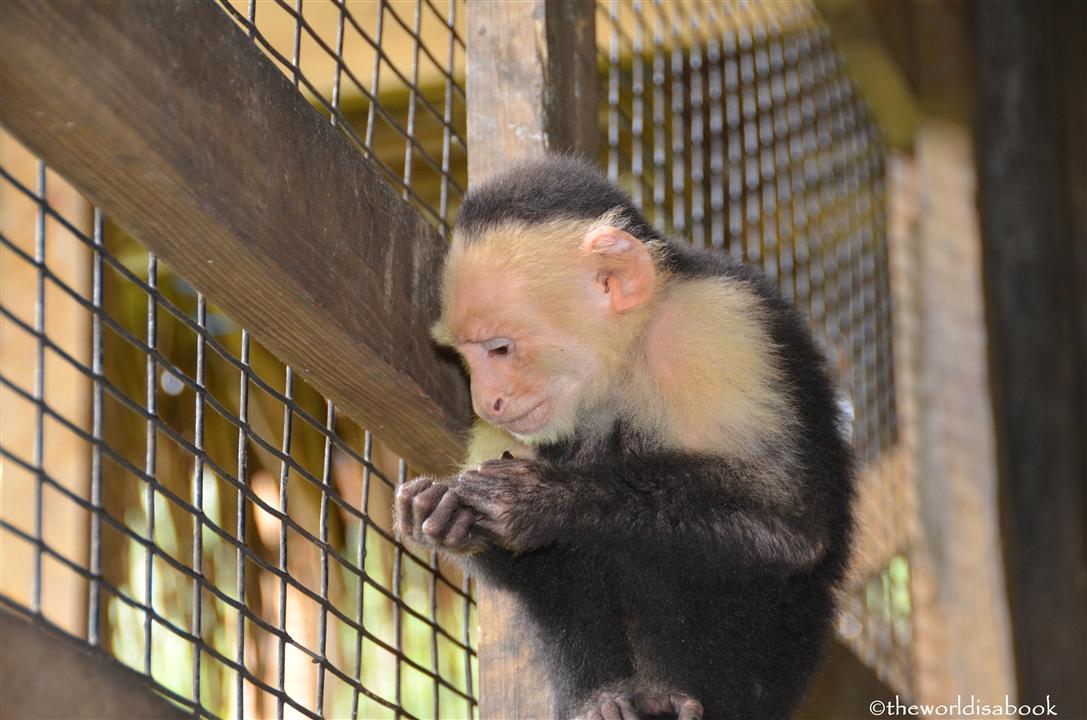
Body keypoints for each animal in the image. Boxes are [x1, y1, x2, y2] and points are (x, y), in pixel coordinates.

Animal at [395, 156, 852, 720]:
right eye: (463, 356)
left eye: (500, 348)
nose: (487, 402)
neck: (627, 355)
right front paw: (445, 515)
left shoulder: (719, 323)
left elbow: (790, 523)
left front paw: (542, 499)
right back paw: (604, 697)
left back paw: (670, 692)